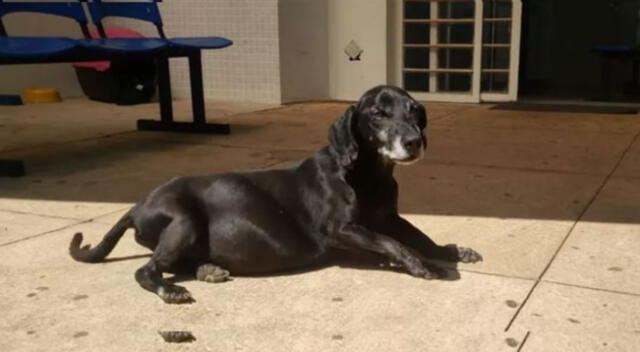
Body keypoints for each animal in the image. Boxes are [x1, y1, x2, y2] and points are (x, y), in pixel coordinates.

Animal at [70, 84, 480, 302]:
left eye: (415, 111)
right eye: (377, 113)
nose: (414, 141)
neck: (367, 174)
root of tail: (136, 206)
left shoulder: (390, 217)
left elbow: (418, 236)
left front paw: (449, 251)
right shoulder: (342, 230)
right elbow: (395, 244)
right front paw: (426, 266)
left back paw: (206, 269)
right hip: (183, 220)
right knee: (146, 269)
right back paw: (169, 288)